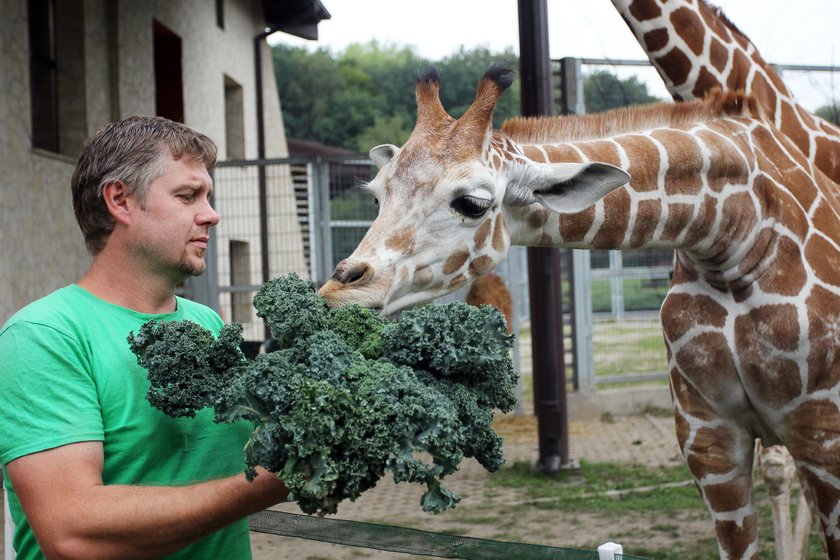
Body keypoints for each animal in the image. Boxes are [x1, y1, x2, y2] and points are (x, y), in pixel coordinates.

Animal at [320, 68, 840, 556]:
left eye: (472, 203)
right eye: (376, 196)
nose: (337, 293)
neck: (735, 236)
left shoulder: (822, 436)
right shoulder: (708, 439)